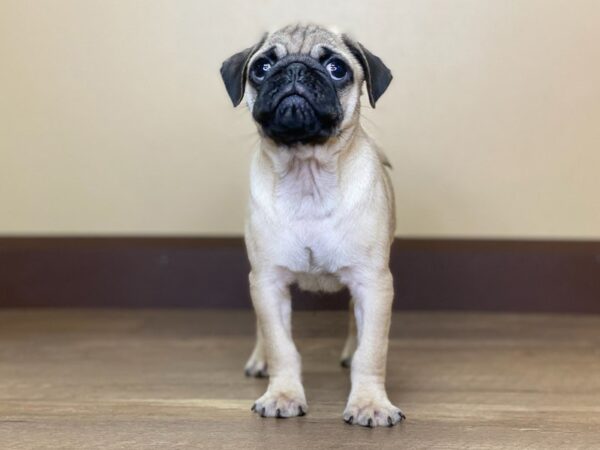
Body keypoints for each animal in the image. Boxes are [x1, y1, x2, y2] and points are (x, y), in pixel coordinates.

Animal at [220, 22, 404, 428]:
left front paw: (370, 403)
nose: (294, 70)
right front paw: (283, 395)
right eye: (262, 67)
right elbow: (281, 346)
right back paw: (259, 360)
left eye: (337, 69)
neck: (307, 175)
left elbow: (372, 351)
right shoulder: (268, 282)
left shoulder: (374, 283)